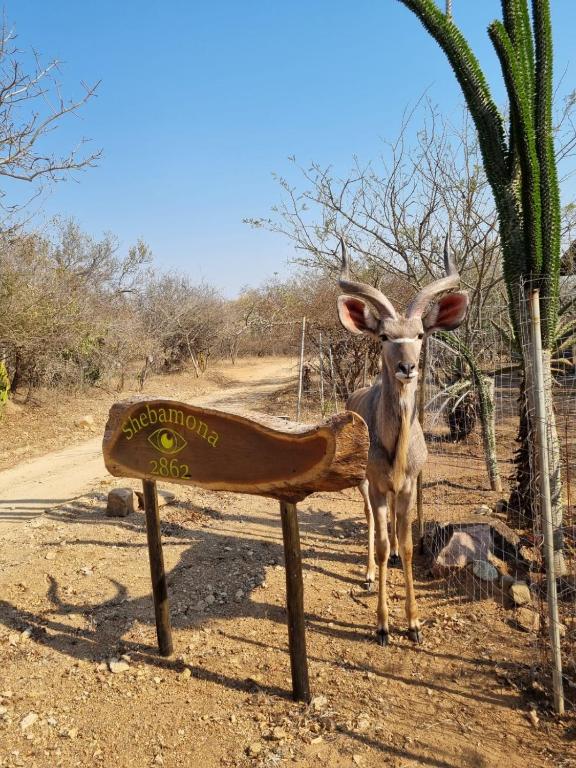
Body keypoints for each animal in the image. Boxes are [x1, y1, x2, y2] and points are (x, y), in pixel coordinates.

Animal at [337, 239, 468, 645]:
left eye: (421, 335)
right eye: (384, 337)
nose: (407, 368)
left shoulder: (408, 485)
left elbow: (409, 545)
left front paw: (413, 624)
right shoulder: (378, 484)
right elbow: (380, 542)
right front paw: (382, 625)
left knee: (393, 529)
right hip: (363, 483)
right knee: (371, 522)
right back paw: (367, 574)